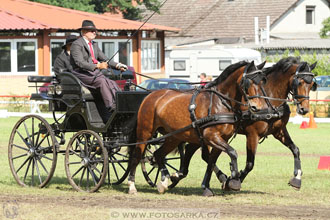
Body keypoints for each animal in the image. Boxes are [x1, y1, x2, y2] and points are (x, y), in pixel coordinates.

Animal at [128, 61, 266, 195]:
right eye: (248, 82)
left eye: (262, 82)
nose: (257, 107)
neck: (220, 102)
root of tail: (149, 96)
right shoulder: (211, 136)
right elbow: (232, 152)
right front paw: (234, 180)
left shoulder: (221, 139)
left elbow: (211, 161)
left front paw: (207, 186)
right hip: (144, 133)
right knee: (136, 155)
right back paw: (132, 185)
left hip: (173, 137)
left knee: (158, 154)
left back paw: (164, 181)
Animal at [170, 56, 318, 192]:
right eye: (300, 82)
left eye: (312, 85)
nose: (304, 109)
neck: (269, 100)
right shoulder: (252, 134)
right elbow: (250, 164)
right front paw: (234, 180)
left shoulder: (279, 131)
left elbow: (295, 150)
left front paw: (297, 178)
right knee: (200, 153)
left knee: (194, 151)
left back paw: (181, 176)